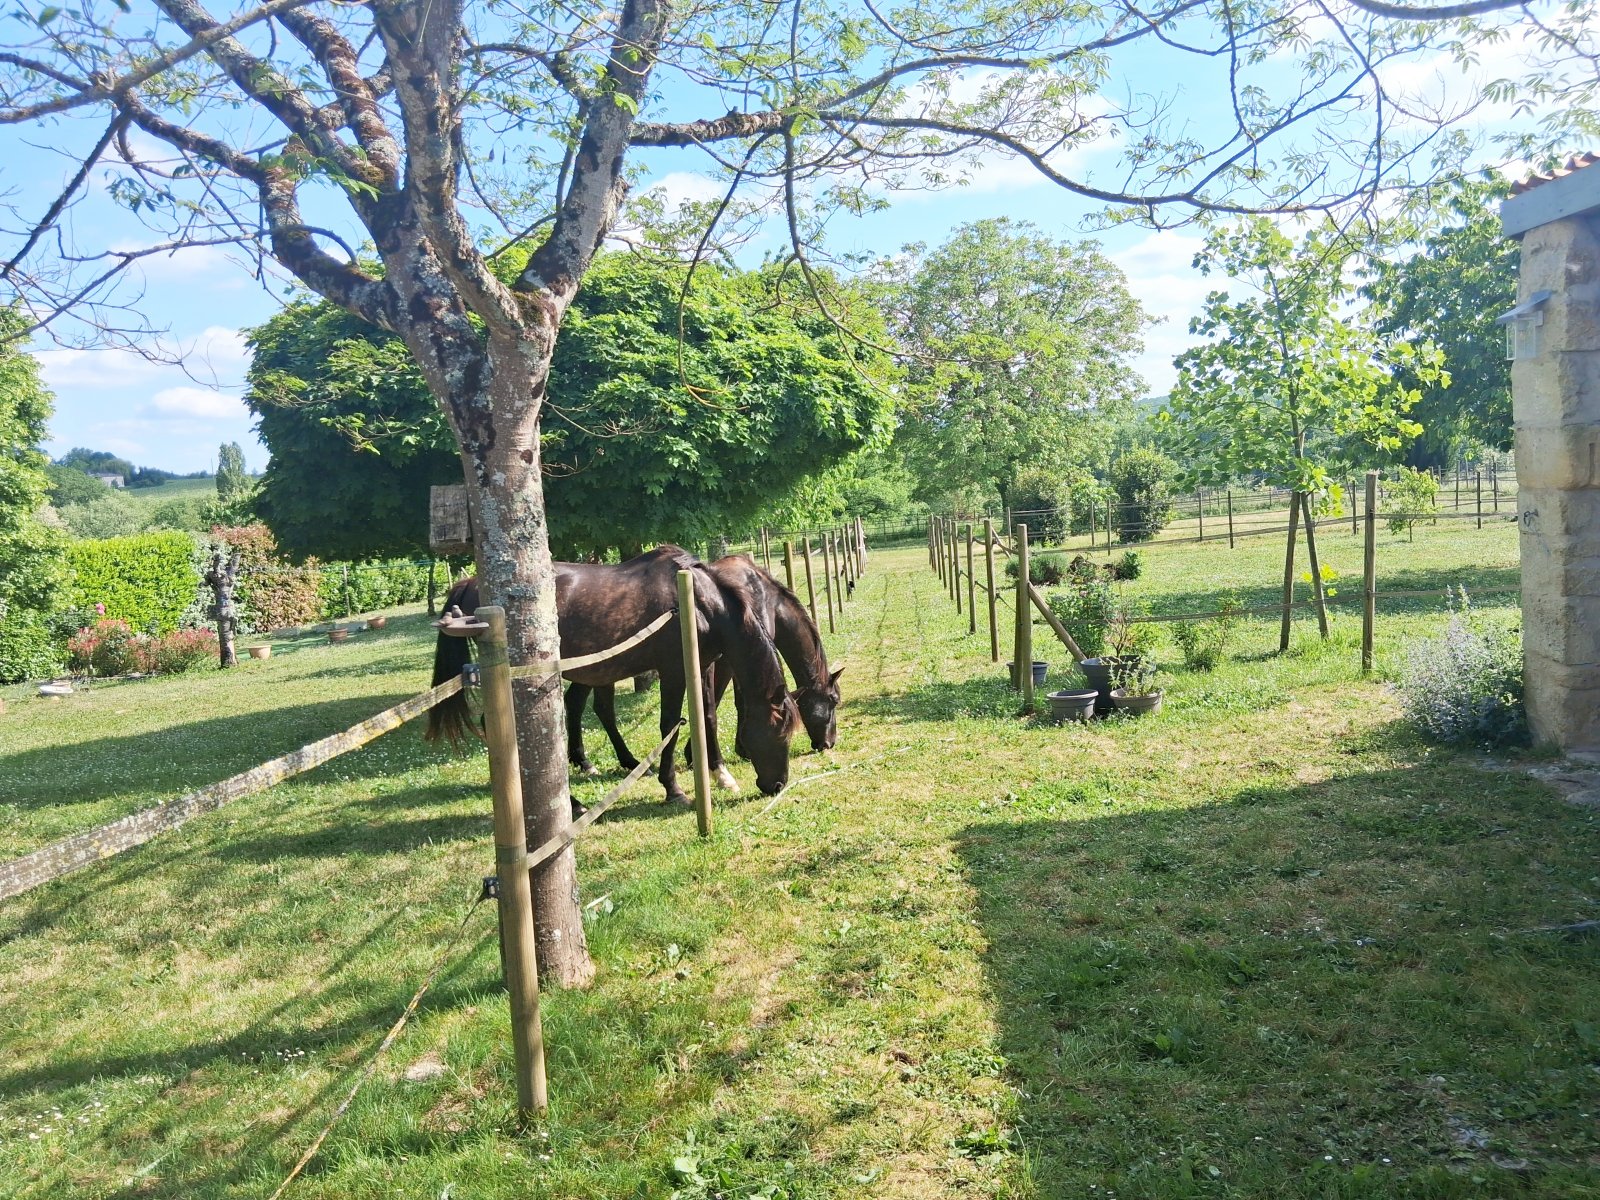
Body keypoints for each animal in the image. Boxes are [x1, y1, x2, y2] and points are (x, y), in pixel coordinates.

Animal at [426, 546, 801, 803]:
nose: (777, 785)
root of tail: (471, 583)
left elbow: (707, 715)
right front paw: (673, 788)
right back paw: (571, 803)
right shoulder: (674, 671)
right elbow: (670, 725)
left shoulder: (703, 665)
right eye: (779, 732)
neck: (695, 602)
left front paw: (721, 774)